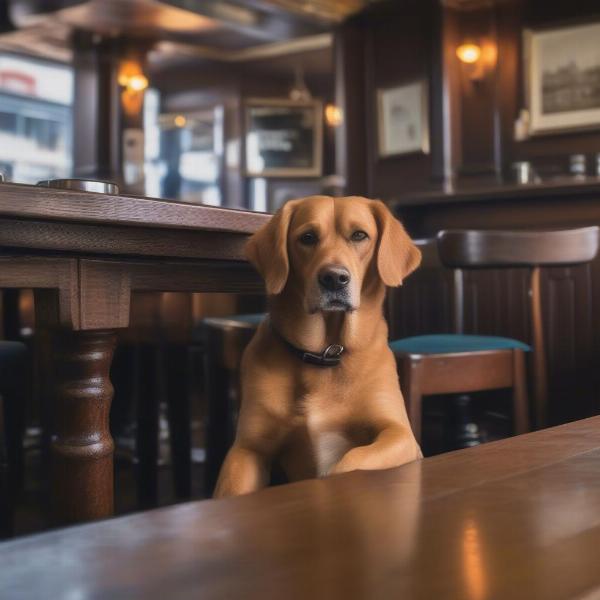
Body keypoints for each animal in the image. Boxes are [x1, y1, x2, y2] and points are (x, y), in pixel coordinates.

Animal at [214, 196, 422, 496]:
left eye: (359, 235)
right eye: (307, 237)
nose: (334, 278)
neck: (325, 353)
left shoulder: (400, 434)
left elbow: (350, 461)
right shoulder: (248, 450)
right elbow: (230, 491)